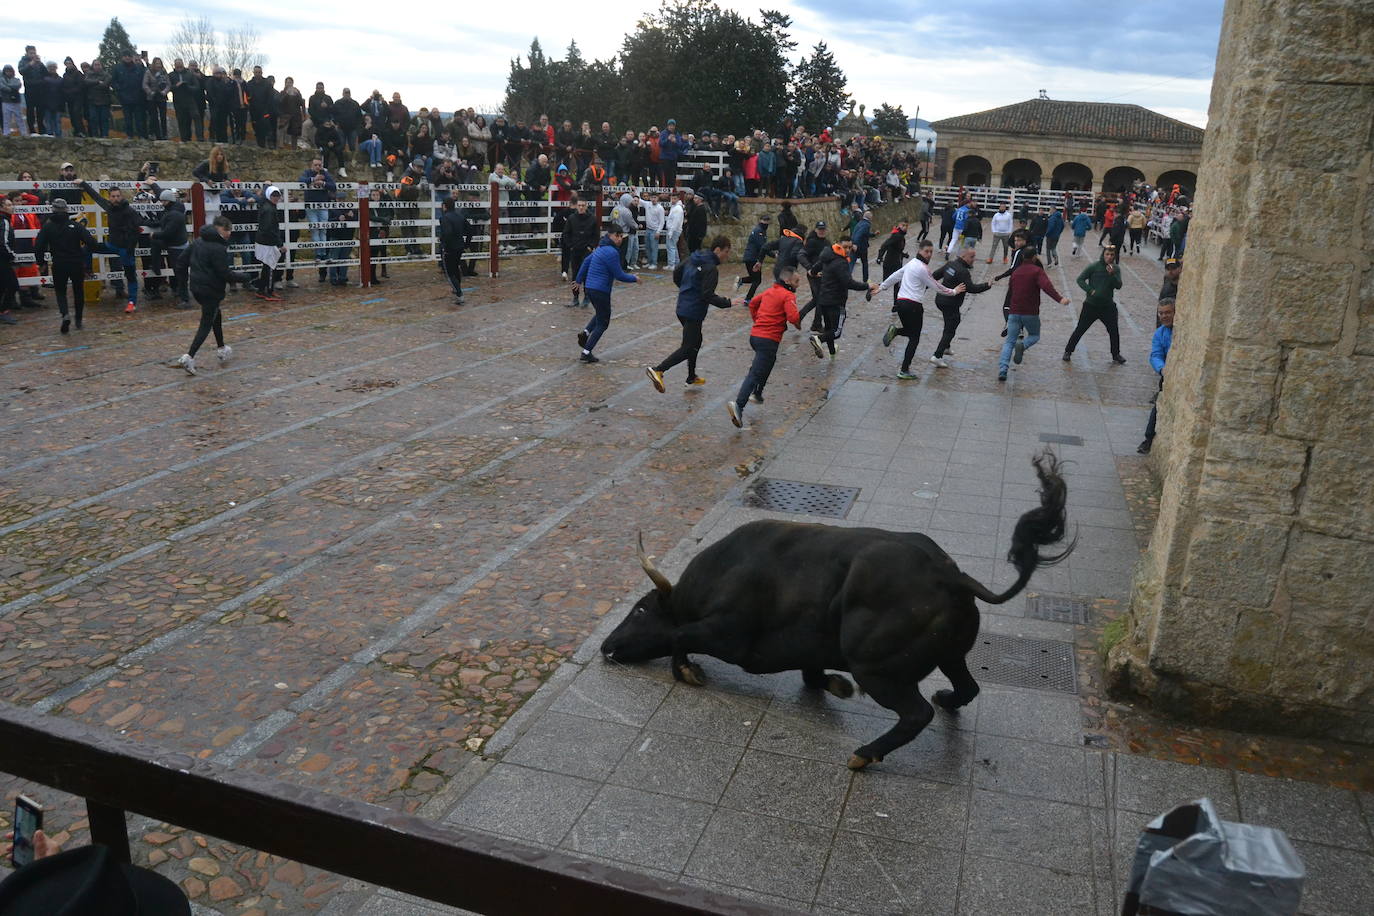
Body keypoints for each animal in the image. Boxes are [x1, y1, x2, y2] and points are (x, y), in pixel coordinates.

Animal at [601, 455, 1071, 769]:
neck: (717, 574)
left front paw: (687, 671)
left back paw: (865, 754)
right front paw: (835, 684)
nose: (606, 647)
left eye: (640, 609)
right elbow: (812, 676)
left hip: (876, 668)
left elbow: (680, 636)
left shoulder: (727, 633)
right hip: (951, 655)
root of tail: (952, 577)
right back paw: (946, 699)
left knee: (916, 714)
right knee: (967, 688)